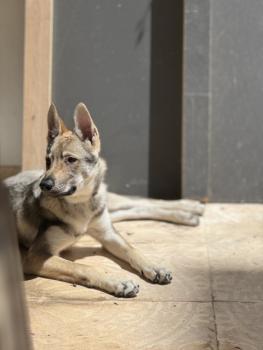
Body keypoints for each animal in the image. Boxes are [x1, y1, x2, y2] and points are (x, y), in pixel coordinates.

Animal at [4, 102, 206, 296]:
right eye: (48, 161)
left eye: (70, 160)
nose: (44, 185)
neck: (81, 205)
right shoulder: (36, 256)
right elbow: (83, 267)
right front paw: (118, 282)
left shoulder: (108, 234)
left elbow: (131, 248)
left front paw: (153, 266)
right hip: (110, 213)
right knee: (136, 208)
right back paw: (189, 214)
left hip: (109, 209)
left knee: (142, 202)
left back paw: (190, 208)